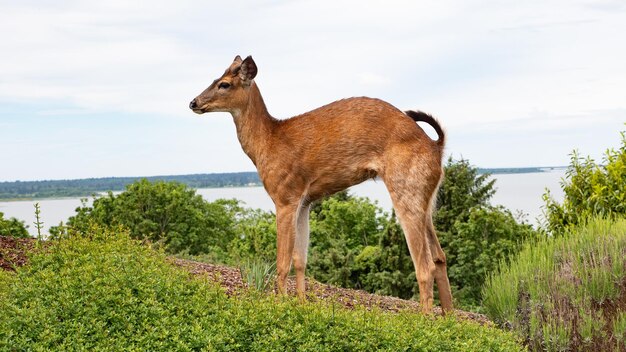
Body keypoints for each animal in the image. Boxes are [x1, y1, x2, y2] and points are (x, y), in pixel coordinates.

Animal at [188, 55, 450, 314]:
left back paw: (424, 320)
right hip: (425, 199)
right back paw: (447, 318)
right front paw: (302, 303)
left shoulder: (285, 196)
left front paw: (280, 305)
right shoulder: (305, 202)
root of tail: (436, 147)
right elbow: (300, 259)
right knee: (440, 256)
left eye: (224, 84)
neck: (267, 143)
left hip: (406, 188)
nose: (193, 102)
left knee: (424, 265)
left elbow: (282, 261)